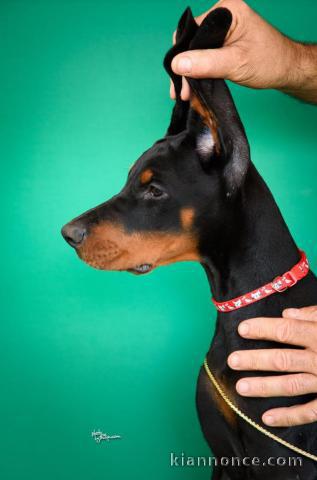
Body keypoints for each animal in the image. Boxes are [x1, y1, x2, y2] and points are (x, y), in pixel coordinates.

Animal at [61, 7, 316, 480]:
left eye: (154, 190)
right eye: (128, 179)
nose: (68, 234)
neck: (243, 308)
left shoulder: (282, 456)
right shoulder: (221, 458)